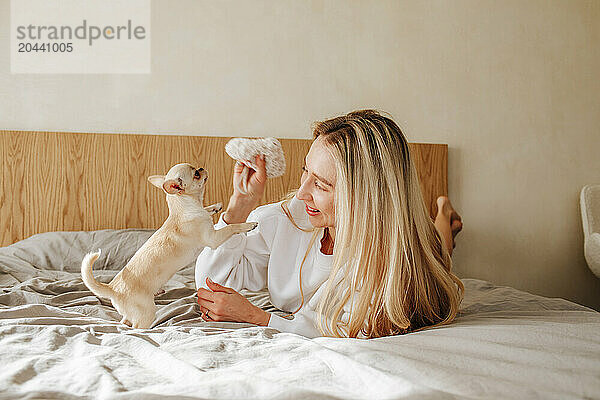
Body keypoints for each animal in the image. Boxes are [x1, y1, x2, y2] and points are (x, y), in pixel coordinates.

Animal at [80, 162, 258, 328]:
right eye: (196, 175)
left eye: (197, 170)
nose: (201, 168)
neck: (184, 205)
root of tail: (113, 288)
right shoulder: (213, 238)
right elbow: (231, 227)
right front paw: (248, 225)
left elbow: (206, 210)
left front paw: (215, 207)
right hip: (146, 312)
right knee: (136, 327)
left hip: (129, 313)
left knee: (124, 321)